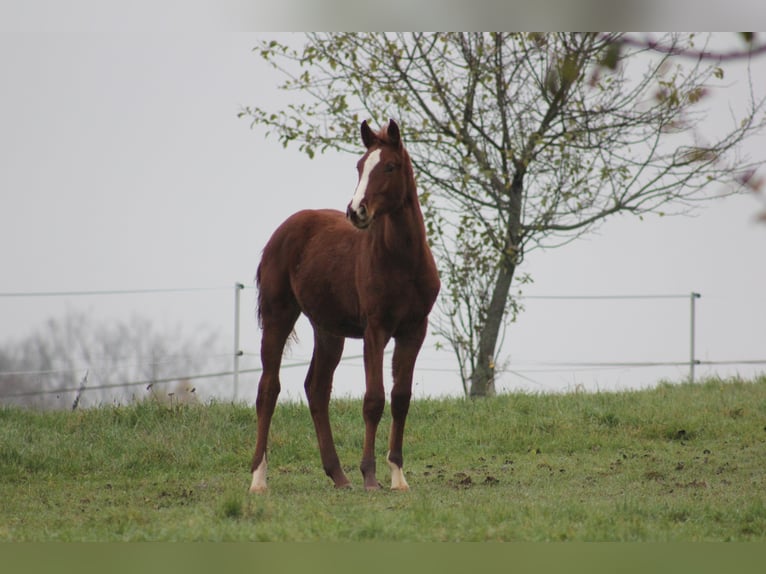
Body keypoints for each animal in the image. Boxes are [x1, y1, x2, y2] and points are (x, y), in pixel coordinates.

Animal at [250, 119, 440, 492]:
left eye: (390, 166)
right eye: (360, 166)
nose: (356, 211)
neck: (403, 261)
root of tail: (283, 230)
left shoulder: (414, 330)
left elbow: (400, 398)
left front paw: (398, 476)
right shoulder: (375, 330)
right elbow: (374, 399)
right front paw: (370, 476)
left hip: (327, 330)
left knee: (317, 388)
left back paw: (338, 475)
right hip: (279, 315)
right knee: (268, 389)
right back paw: (258, 479)